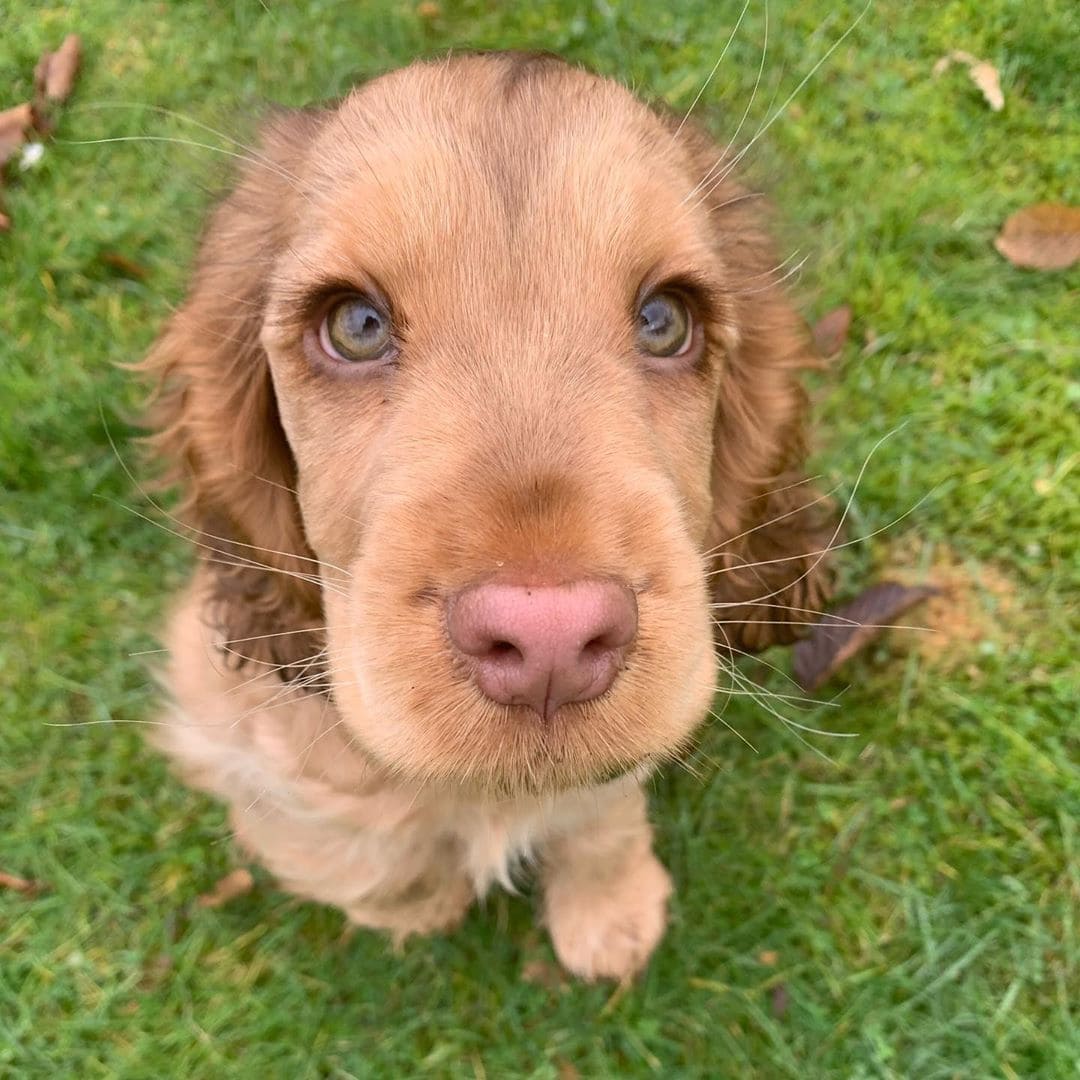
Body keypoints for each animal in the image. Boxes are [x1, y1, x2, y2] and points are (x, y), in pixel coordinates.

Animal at [143, 50, 829, 980]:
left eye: (665, 320)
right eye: (356, 326)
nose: (550, 643)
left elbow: (601, 810)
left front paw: (611, 915)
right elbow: (352, 839)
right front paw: (418, 906)